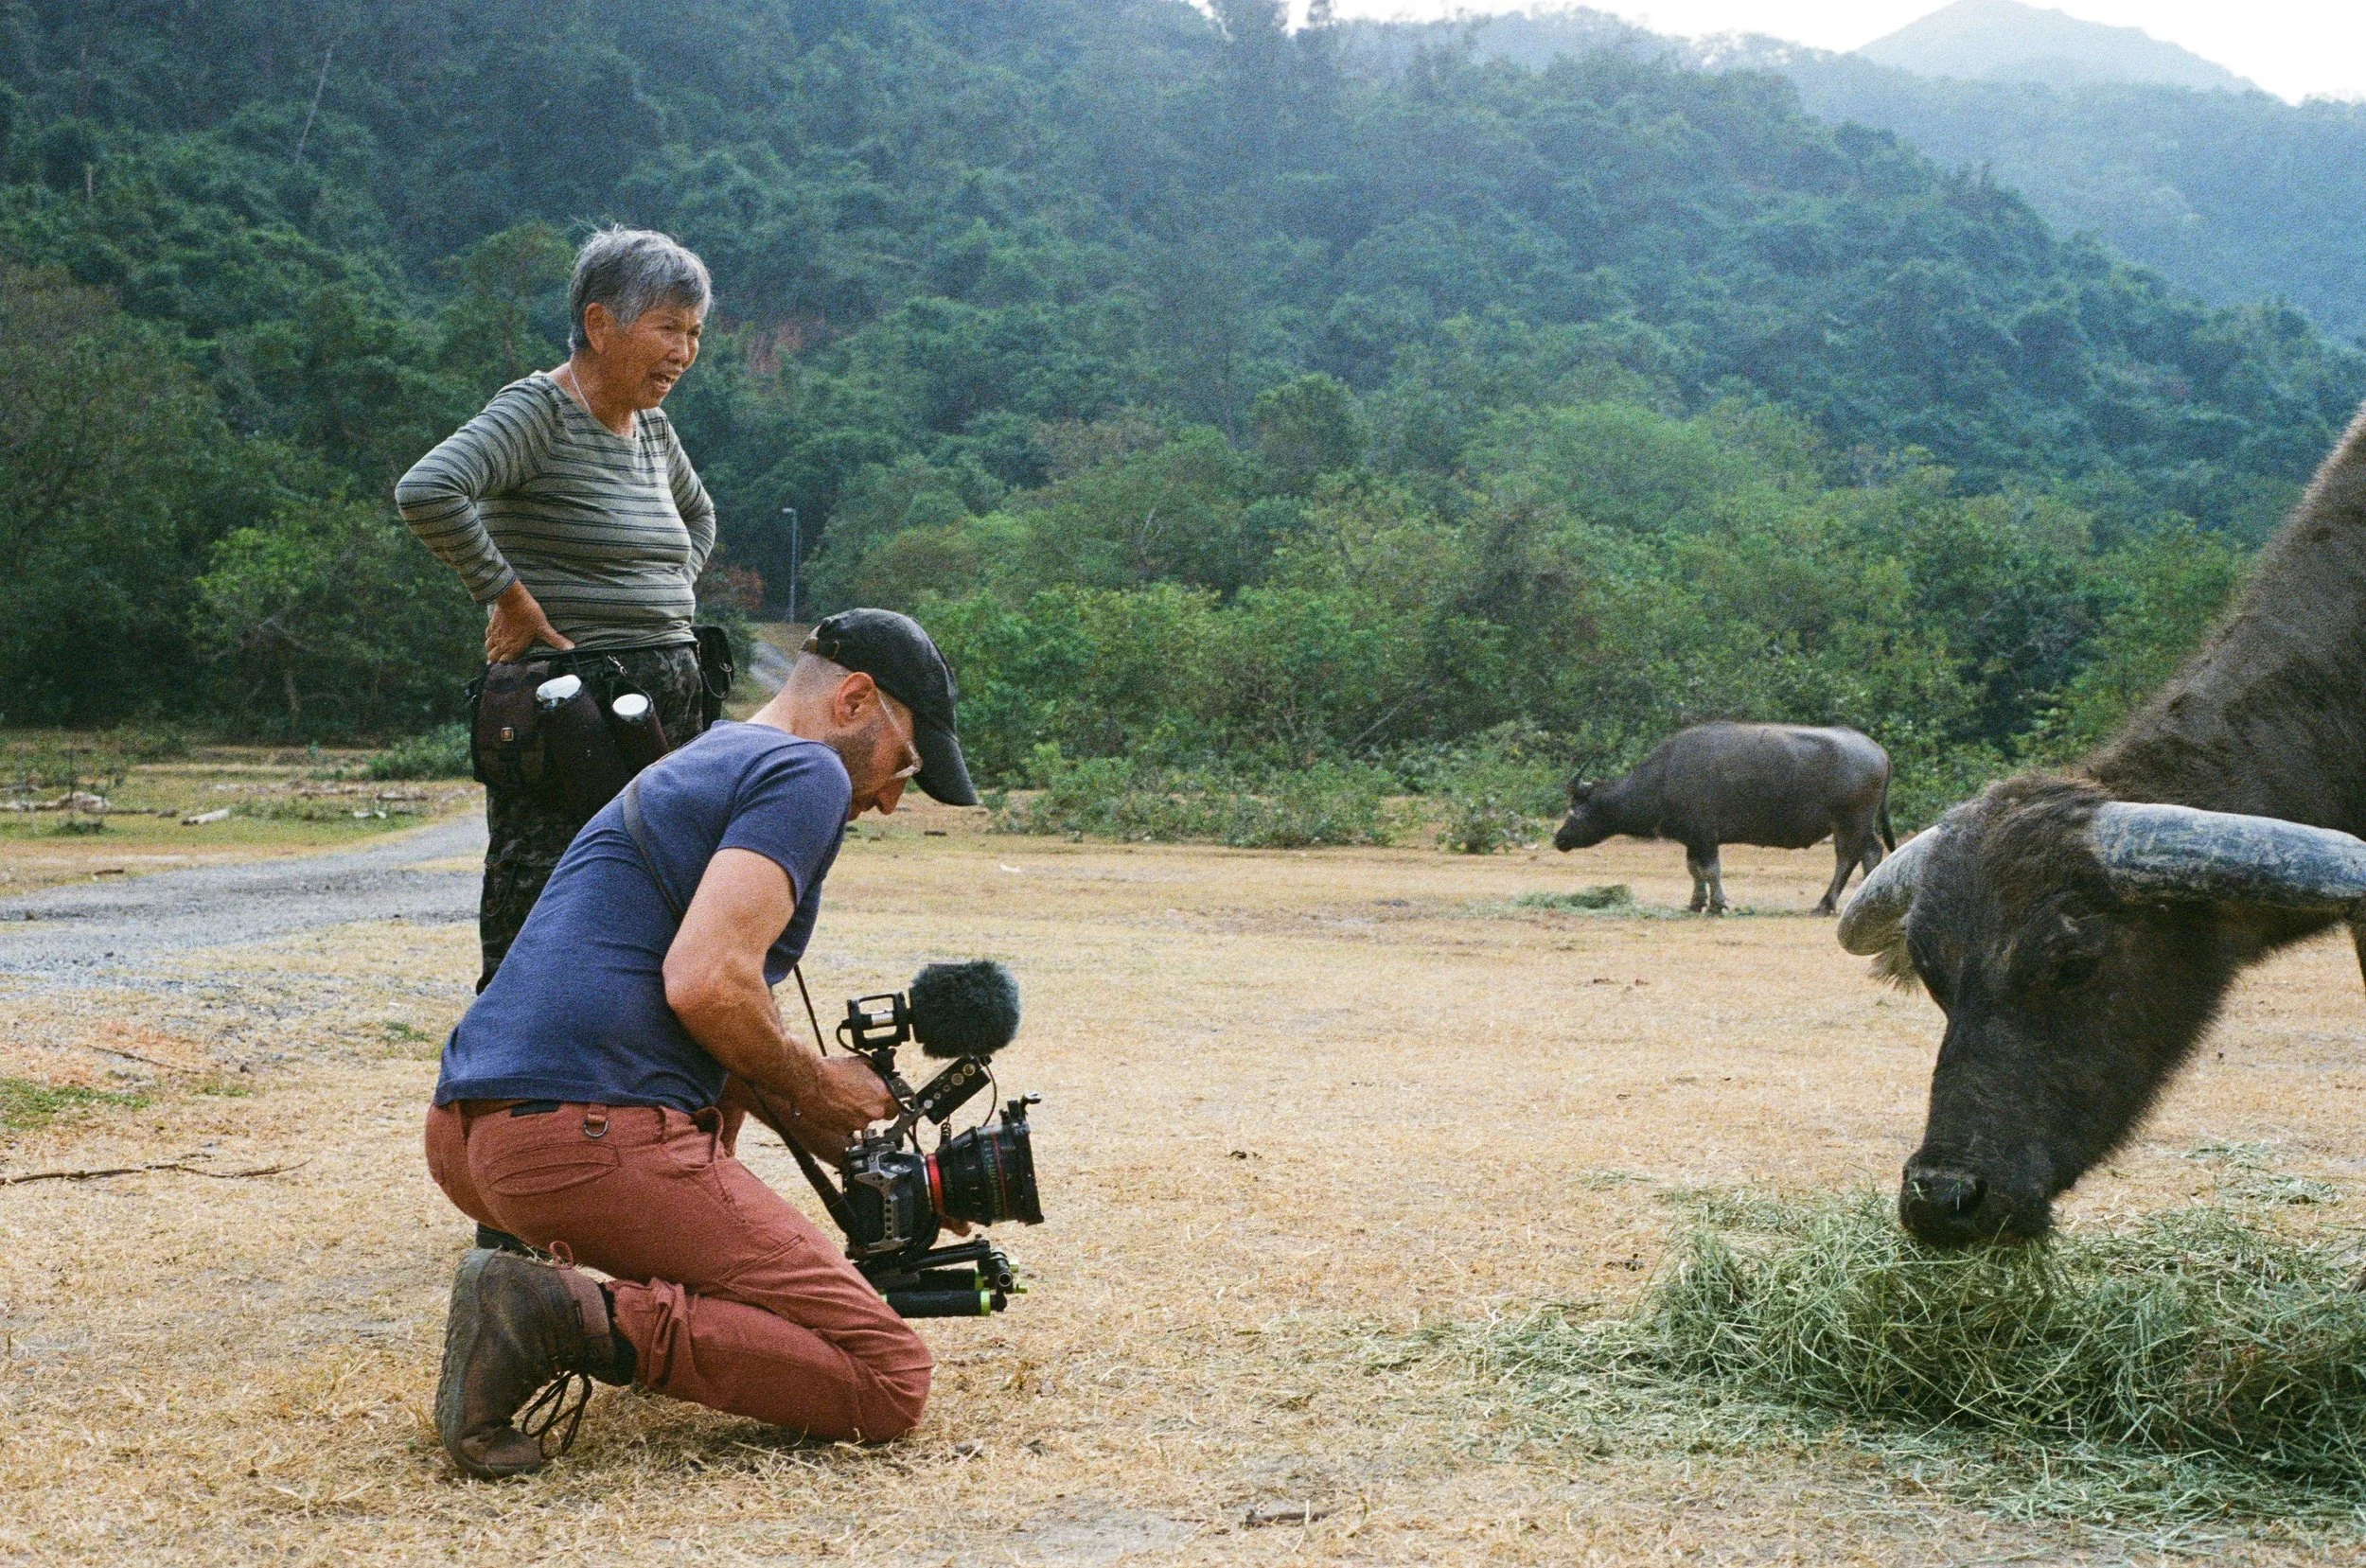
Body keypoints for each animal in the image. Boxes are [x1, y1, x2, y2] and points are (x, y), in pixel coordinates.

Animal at [1555, 723, 1895, 915]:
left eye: (1575, 809)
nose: (1558, 838)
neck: (1664, 777)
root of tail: (1878, 751)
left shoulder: (1706, 834)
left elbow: (1711, 870)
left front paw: (1718, 905)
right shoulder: (1693, 839)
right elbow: (1694, 870)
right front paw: (1696, 903)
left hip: (1851, 820)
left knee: (1856, 854)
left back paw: (1830, 903)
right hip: (1852, 824)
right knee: (1862, 854)